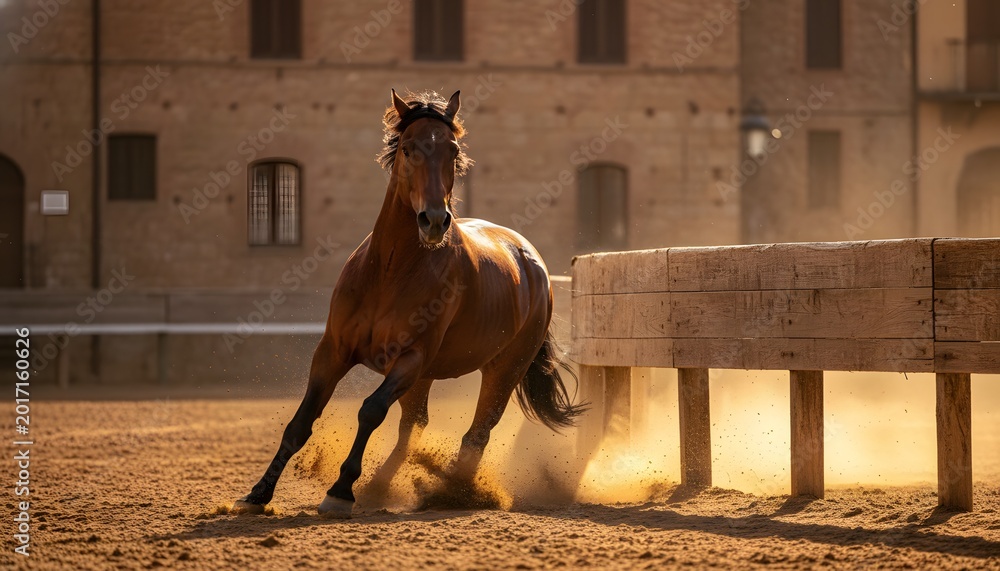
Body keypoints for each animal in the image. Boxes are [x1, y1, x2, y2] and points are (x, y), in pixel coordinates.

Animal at [233, 89, 584, 518]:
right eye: (408, 147)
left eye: (452, 149)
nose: (433, 220)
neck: (390, 271)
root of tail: (531, 261)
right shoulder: (333, 351)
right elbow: (302, 421)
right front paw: (257, 494)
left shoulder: (410, 359)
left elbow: (370, 410)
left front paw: (340, 491)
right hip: (428, 378)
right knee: (415, 428)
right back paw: (381, 487)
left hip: (503, 369)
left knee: (477, 433)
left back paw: (451, 491)